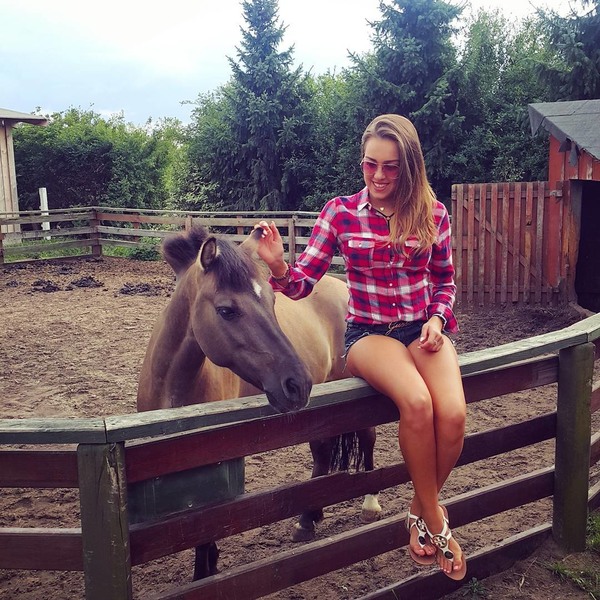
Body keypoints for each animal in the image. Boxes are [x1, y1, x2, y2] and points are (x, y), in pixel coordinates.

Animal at [136, 225, 381, 579]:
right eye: (226, 310)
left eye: (272, 299)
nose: (297, 383)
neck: (173, 390)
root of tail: (343, 288)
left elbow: (205, 530)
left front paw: (205, 573)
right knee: (321, 452)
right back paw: (307, 520)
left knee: (367, 436)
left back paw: (370, 504)